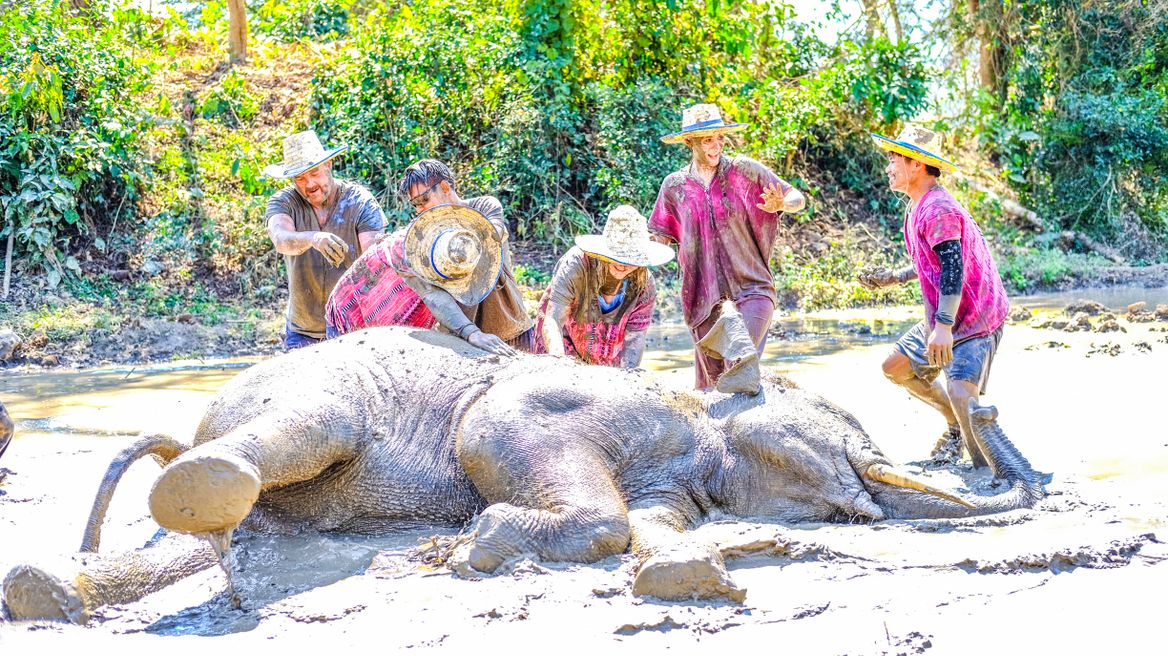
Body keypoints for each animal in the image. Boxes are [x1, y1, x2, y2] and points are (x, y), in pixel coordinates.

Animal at [2, 306, 1045, 624]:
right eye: (837, 425)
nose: (1019, 493)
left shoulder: (677, 480)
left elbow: (654, 525)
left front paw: (690, 573)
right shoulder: (543, 408)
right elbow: (504, 440)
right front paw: (471, 546)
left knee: (218, 539)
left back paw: (48, 592)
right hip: (306, 392)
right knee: (305, 431)